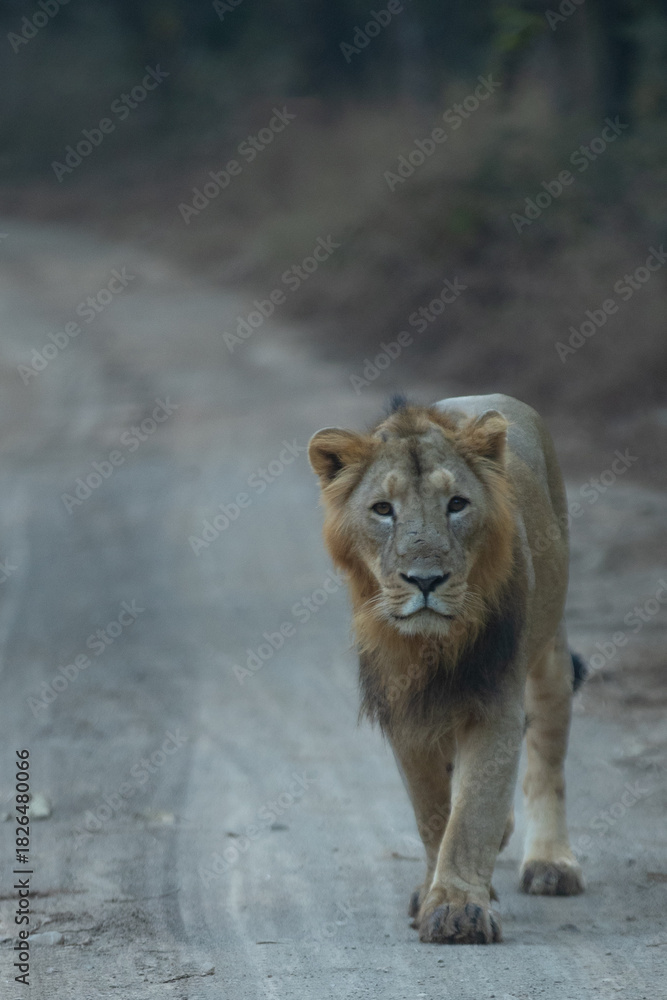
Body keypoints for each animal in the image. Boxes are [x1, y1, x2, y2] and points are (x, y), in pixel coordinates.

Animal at [308, 393, 585, 944]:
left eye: (457, 504)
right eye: (383, 510)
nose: (425, 579)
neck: (430, 647)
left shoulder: (493, 700)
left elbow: (471, 812)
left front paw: (459, 910)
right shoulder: (404, 710)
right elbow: (433, 811)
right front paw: (440, 895)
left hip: (549, 653)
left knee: (547, 758)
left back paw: (551, 863)